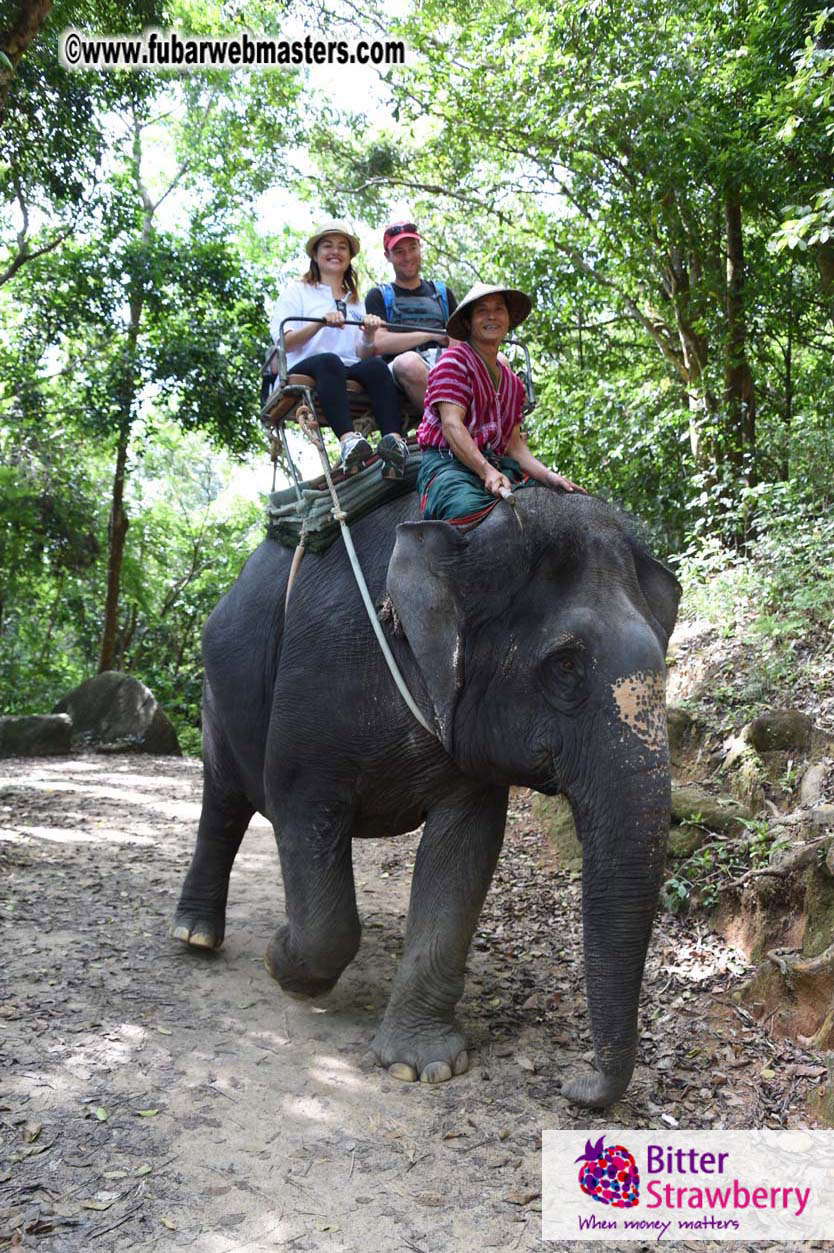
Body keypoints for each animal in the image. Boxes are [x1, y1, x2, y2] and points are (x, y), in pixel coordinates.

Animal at [172, 485, 680, 1108]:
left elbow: (464, 851)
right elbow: (303, 820)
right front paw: (277, 958)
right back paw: (195, 938)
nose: (572, 1085)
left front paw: (422, 1067)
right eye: (564, 665)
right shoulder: (313, 688)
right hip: (215, 693)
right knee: (223, 801)